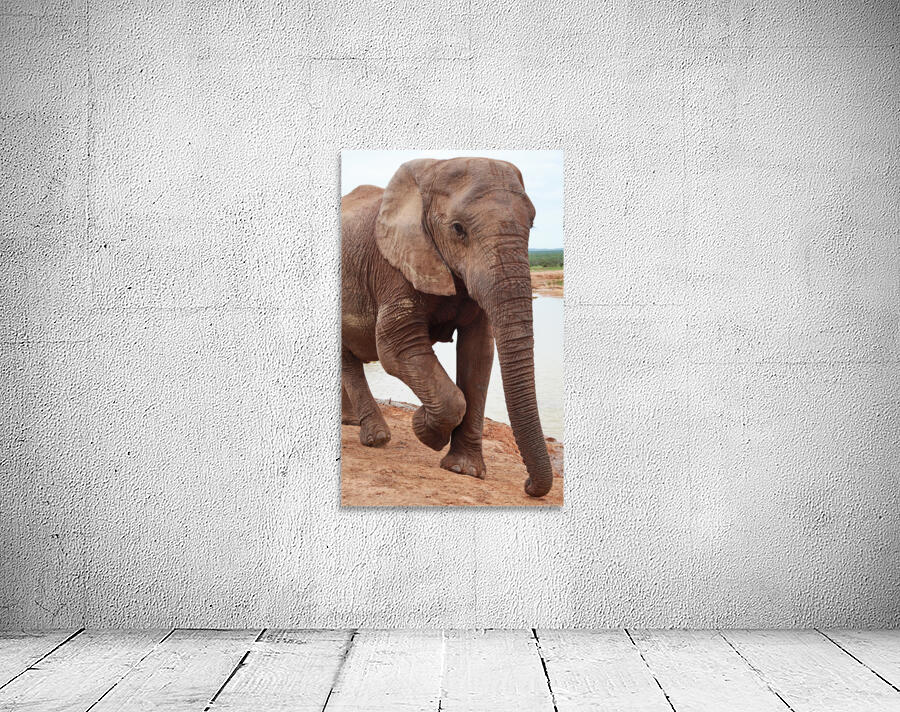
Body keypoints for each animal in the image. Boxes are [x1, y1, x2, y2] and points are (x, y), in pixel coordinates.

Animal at [340, 157, 553, 497]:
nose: (529, 485)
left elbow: (478, 354)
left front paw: (463, 470)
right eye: (458, 229)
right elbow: (394, 347)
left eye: (531, 224)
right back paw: (377, 438)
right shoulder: (394, 264)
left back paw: (353, 424)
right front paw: (423, 429)